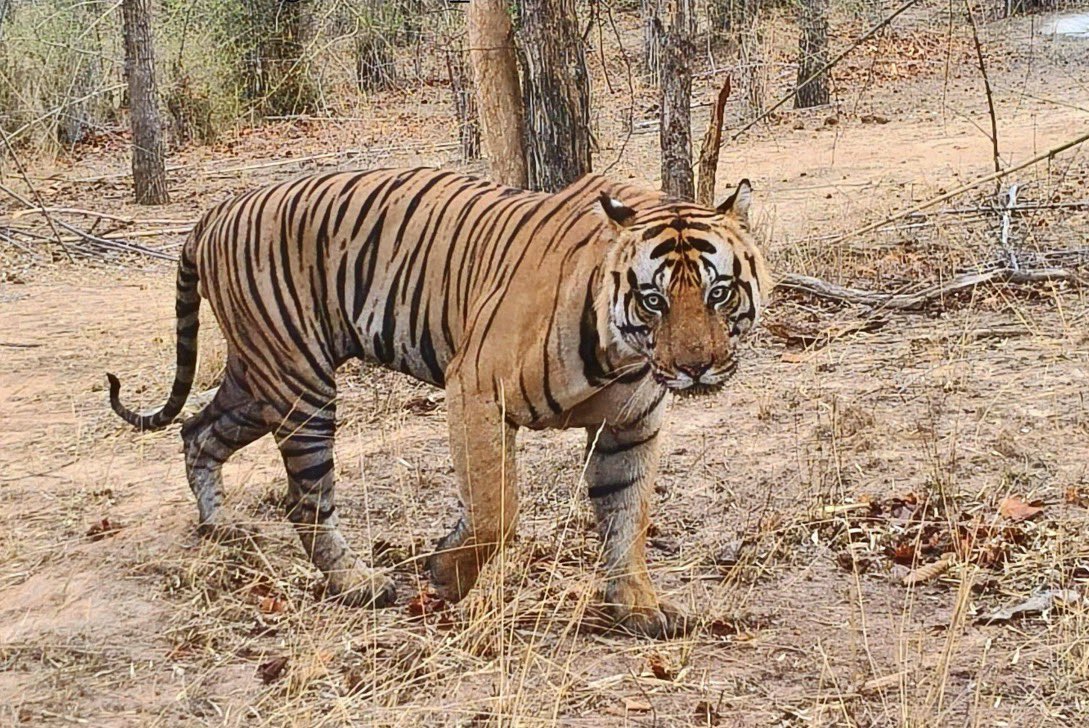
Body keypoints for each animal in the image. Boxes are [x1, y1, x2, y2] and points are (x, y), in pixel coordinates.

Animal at [107, 167, 772, 638]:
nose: (695, 367)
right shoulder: (475, 388)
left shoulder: (631, 426)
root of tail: (214, 211)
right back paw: (357, 583)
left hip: (260, 378)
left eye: (718, 292)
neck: (624, 353)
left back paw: (220, 526)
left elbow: (626, 517)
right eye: (654, 300)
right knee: (304, 499)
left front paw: (637, 606)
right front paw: (446, 576)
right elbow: (495, 511)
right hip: (300, 383)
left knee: (198, 430)